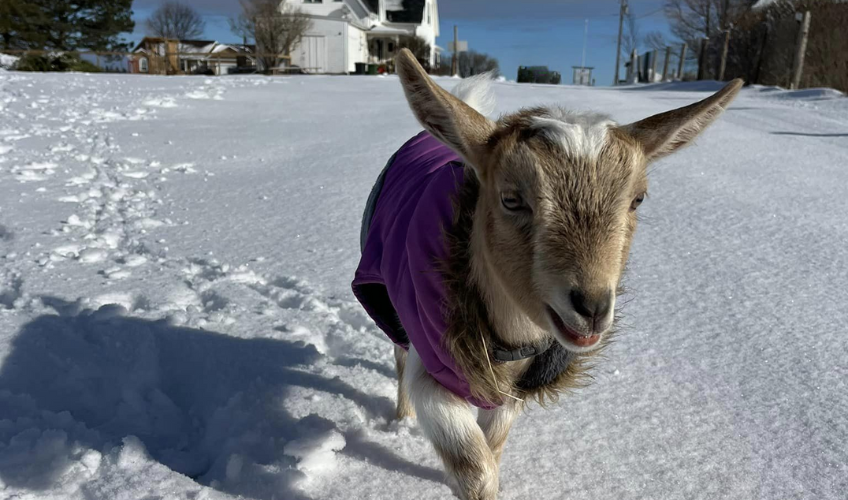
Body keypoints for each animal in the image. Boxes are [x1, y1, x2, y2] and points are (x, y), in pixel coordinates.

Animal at [352, 48, 744, 498]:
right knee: (398, 354)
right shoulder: (431, 362)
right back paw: (401, 421)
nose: (591, 307)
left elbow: (494, 446)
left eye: (638, 199)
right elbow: (473, 467)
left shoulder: (517, 387)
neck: (506, 343)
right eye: (510, 198)